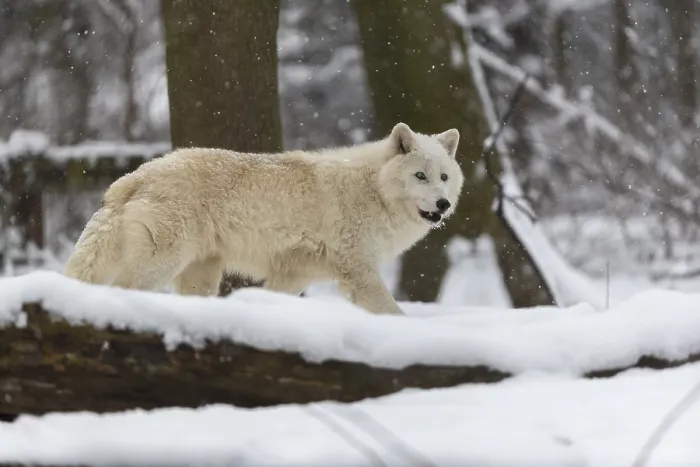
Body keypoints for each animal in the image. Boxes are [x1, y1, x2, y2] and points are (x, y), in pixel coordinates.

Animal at [63, 122, 464, 315]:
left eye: (444, 176)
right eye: (420, 176)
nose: (443, 204)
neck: (372, 189)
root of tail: (135, 175)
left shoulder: (294, 275)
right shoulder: (360, 274)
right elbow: (395, 314)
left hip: (200, 275)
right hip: (161, 265)